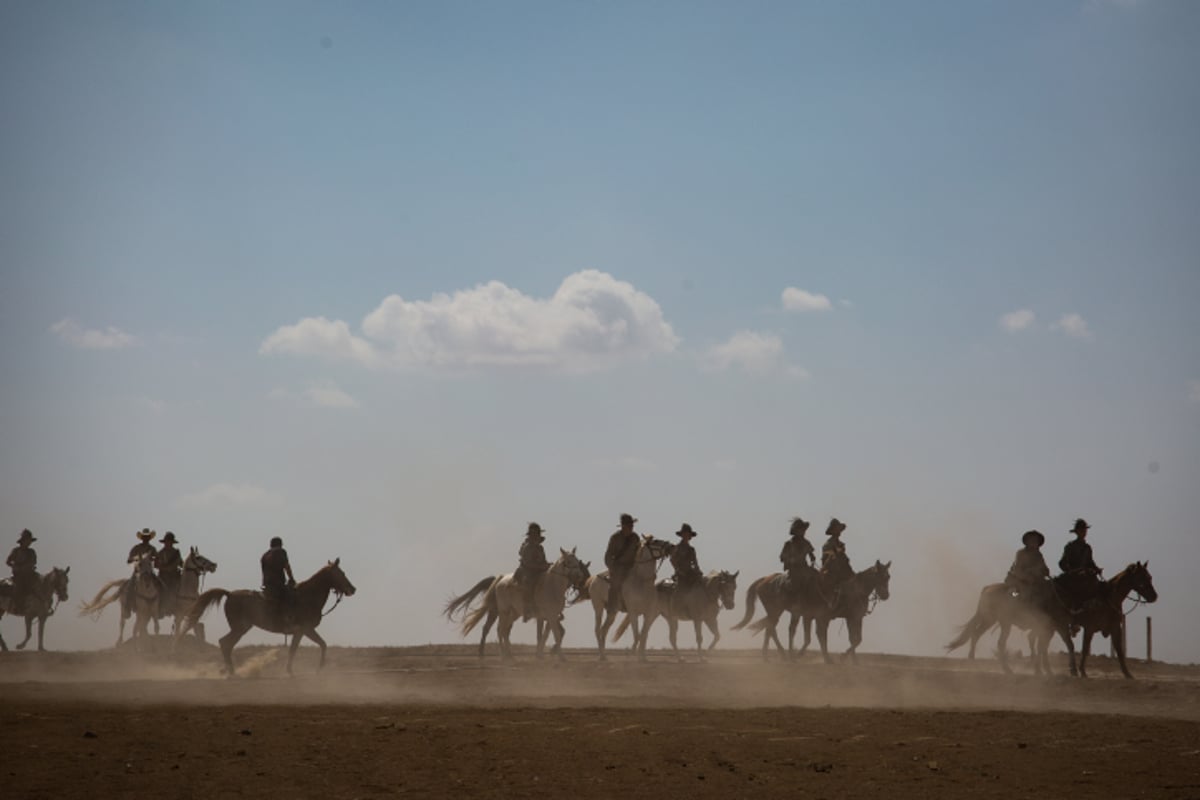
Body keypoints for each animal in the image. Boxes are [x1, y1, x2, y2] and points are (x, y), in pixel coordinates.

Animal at [176, 561, 355, 681]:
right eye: (341, 573)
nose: (353, 589)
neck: (307, 597)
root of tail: (230, 594)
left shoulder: (302, 632)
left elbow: (305, 647)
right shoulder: (305, 629)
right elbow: (313, 646)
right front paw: (310, 670)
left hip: (241, 628)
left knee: (226, 644)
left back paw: (229, 671)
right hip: (240, 628)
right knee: (225, 643)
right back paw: (231, 671)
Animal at [453, 546, 590, 662]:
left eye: (577, 561)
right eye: (567, 561)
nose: (579, 576)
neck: (552, 586)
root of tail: (500, 579)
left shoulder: (550, 617)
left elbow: (546, 635)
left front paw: (541, 655)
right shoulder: (550, 616)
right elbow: (555, 634)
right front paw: (561, 657)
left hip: (513, 614)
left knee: (505, 630)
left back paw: (510, 655)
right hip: (503, 611)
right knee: (498, 629)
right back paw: (501, 655)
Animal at [580, 534, 676, 662]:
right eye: (655, 541)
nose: (672, 546)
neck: (641, 581)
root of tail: (594, 578)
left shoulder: (648, 613)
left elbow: (644, 634)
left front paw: (643, 657)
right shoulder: (633, 613)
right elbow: (637, 634)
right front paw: (634, 654)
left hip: (612, 612)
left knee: (604, 630)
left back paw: (604, 655)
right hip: (598, 607)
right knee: (597, 629)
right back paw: (601, 656)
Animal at [945, 573, 1080, 681]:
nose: (1077, 627)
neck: (1058, 595)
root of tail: (987, 588)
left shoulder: (1049, 629)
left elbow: (1042, 646)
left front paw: (1043, 670)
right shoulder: (1058, 626)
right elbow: (1065, 645)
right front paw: (1071, 671)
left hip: (989, 620)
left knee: (976, 634)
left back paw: (973, 662)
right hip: (1003, 622)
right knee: (999, 642)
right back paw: (1007, 670)